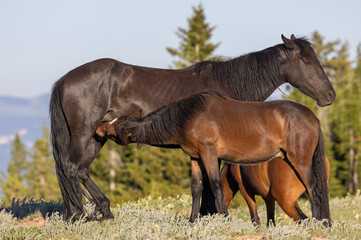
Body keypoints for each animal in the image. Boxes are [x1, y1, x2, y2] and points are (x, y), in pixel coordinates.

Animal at [109, 91, 330, 226]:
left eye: (116, 125)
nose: (103, 129)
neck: (189, 115)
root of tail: (312, 116)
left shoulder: (209, 154)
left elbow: (215, 185)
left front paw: (225, 218)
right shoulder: (195, 157)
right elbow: (196, 187)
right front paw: (192, 220)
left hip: (300, 161)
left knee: (314, 189)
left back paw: (319, 223)